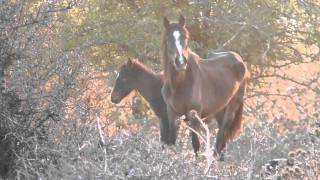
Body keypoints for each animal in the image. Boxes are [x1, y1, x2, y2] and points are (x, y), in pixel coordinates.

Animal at [161, 15, 249, 159]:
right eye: (168, 38)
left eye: (186, 37)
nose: (181, 62)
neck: (179, 85)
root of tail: (239, 60)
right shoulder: (172, 114)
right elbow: (171, 143)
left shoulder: (195, 116)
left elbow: (196, 145)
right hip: (220, 109)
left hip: (232, 107)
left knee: (221, 136)